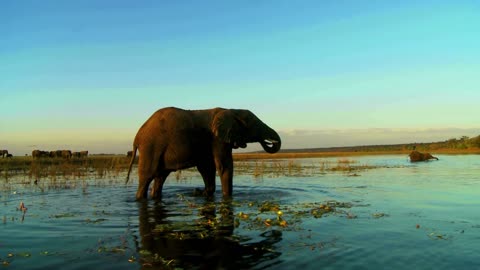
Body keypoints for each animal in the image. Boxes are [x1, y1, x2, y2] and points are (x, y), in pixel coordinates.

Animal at [125, 106, 282, 199]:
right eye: (254, 125)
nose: (270, 141)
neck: (231, 110)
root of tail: (137, 136)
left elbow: (207, 168)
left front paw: (202, 193)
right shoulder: (217, 139)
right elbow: (224, 166)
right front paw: (227, 197)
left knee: (160, 177)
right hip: (150, 147)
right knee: (147, 176)